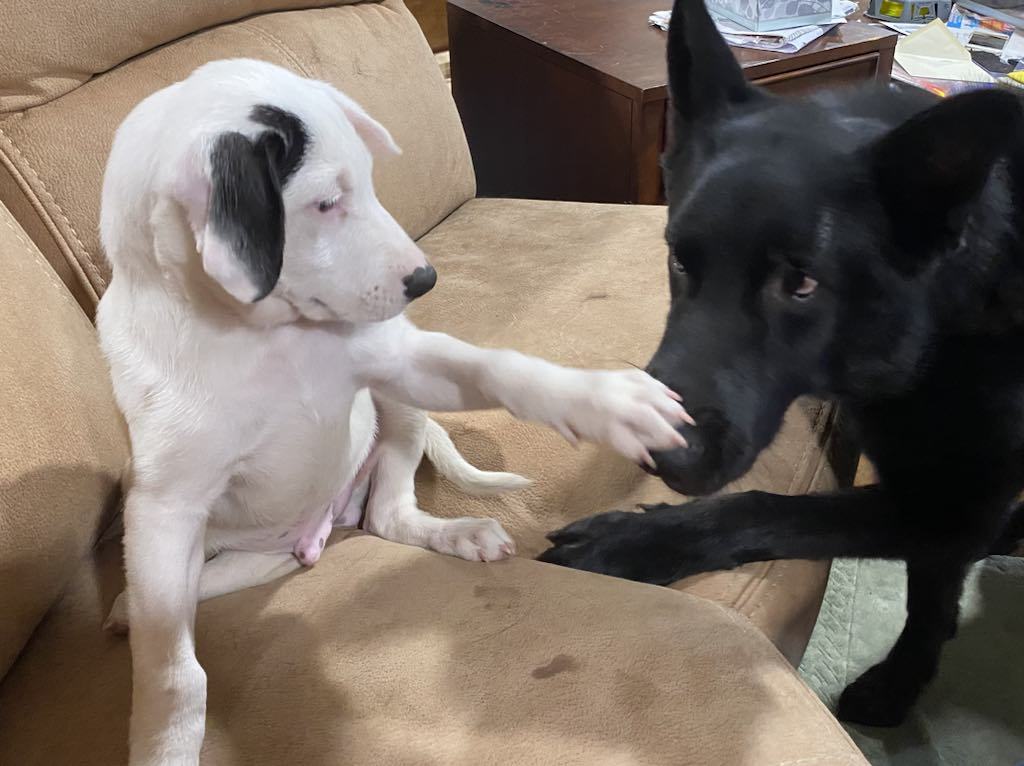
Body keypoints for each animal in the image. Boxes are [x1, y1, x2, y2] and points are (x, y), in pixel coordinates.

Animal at [97, 59, 688, 766]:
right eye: (325, 203)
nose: (424, 281)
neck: (263, 338)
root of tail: (325, 525)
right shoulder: (164, 510)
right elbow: (174, 673)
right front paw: (166, 740)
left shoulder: (400, 362)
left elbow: (502, 368)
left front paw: (611, 402)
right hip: (215, 541)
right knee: (207, 581)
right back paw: (128, 607)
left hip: (396, 414)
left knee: (389, 513)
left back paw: (456, 533)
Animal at [540, 0, 1019, 729]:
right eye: (680, 259)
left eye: (802, 284)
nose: (661, 455)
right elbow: (930, 578)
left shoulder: (952, 502)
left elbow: (771, 512)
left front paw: (635, 541)